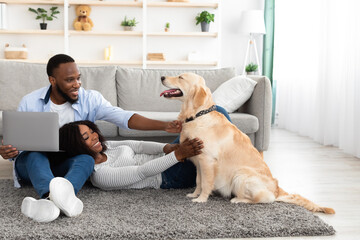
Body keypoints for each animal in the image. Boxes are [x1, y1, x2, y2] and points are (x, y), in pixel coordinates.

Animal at [160, 72, 334, 214]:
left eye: (181, 77)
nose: (161, 77)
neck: (198, 115)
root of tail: (277, 188)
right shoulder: (198, 162)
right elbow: (198, 181)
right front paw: (194, 194)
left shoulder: (207, 161)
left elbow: (206, 183)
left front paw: (201, 199)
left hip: (240, 175)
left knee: (264, 199)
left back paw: (238, 199)